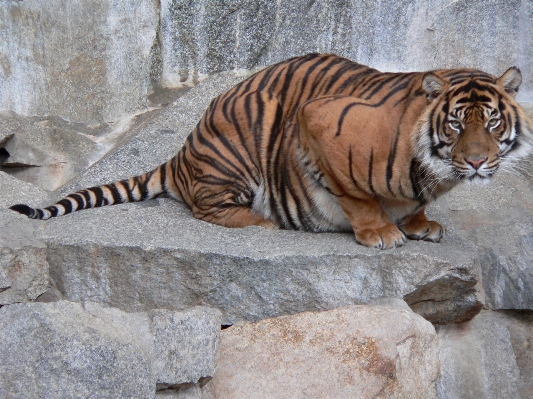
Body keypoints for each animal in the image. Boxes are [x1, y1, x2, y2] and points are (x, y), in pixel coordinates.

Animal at [9, 51, 532, 248]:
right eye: (455, 124)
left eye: (492, 121)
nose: (476, 161)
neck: (435, 173)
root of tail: (182, 154)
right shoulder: (317, 121)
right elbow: (357, 197)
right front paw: (382, 232)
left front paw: (420, 223)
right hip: (253, 124)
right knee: (207, 207)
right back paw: (260, 221)